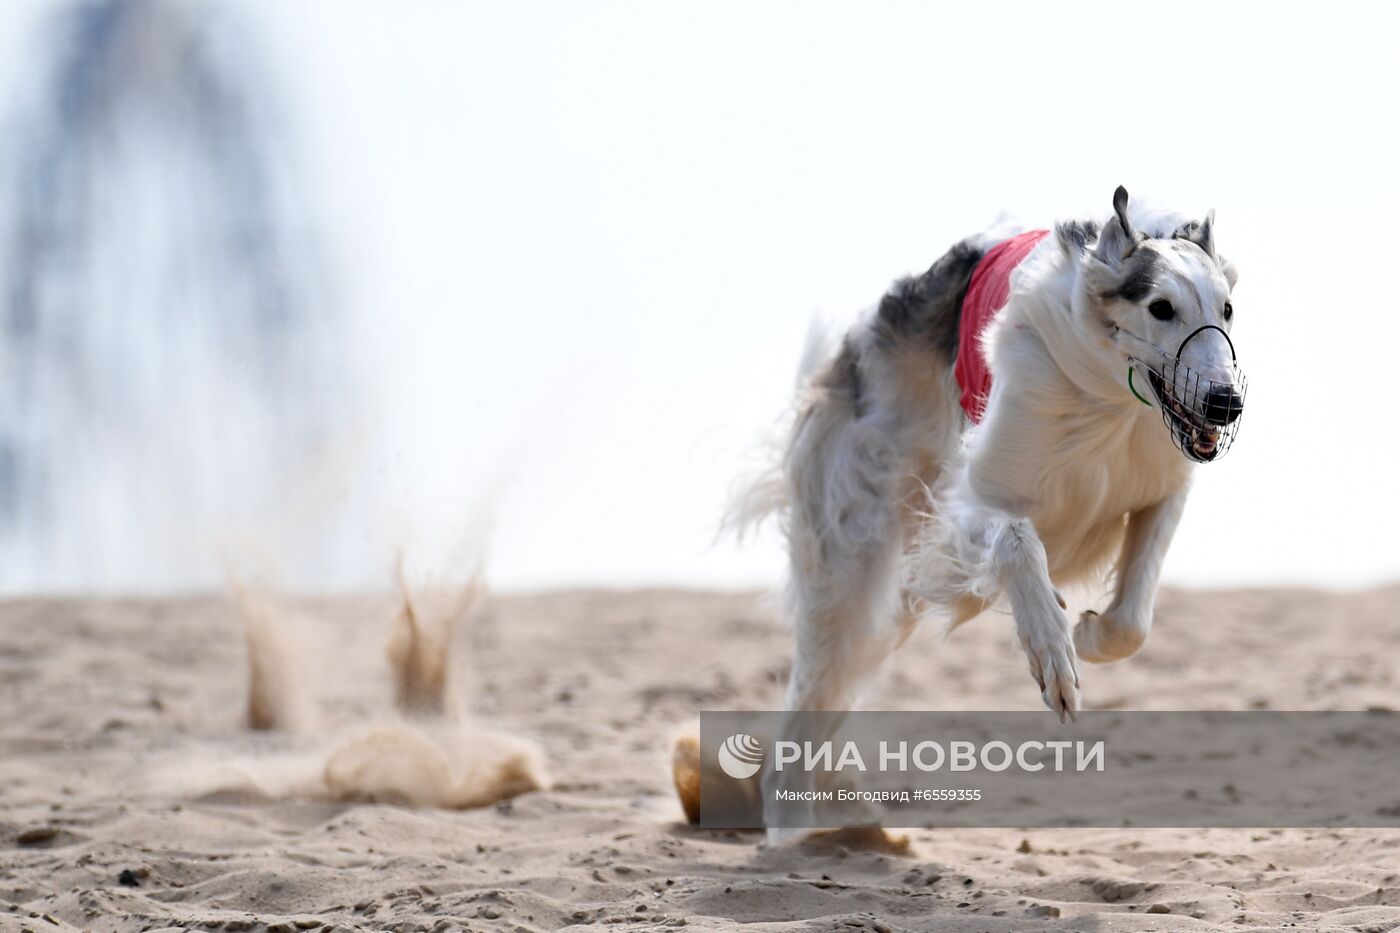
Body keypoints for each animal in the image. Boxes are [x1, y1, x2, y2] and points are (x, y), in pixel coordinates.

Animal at [739, 184, 1243, 762]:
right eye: (1161, 307)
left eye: (1227, 309)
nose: (1227, 403)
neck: (1112, 399)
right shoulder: (971, 495)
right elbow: (1016, 543)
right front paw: (1054, 651)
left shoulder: (1159, 488)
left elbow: (1132, 621)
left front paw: (1089, 635)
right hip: (849, 558)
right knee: (806, 706)